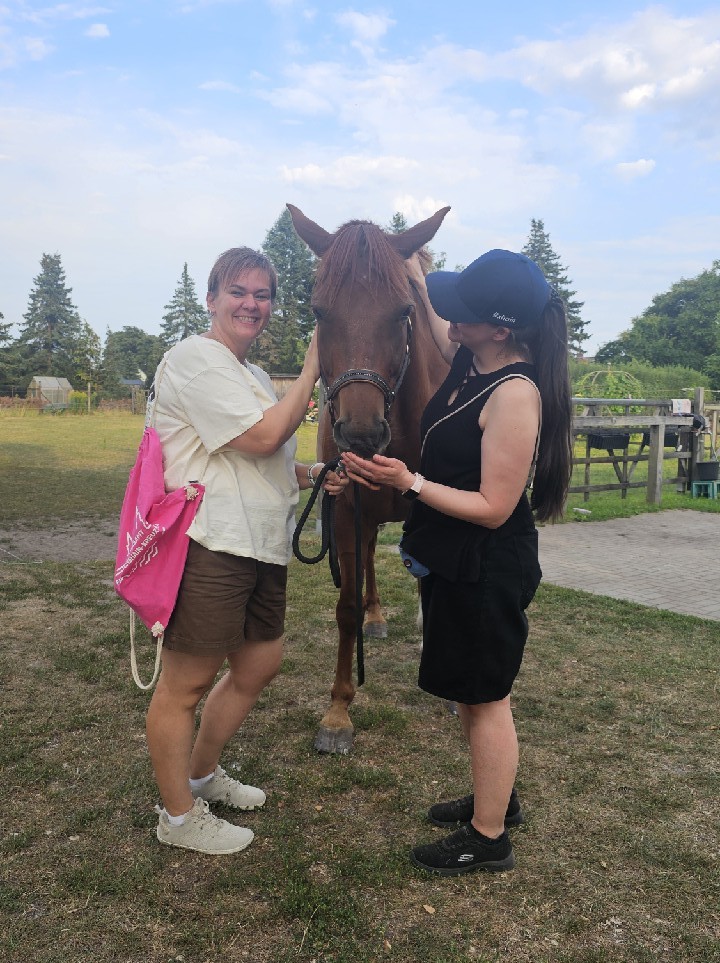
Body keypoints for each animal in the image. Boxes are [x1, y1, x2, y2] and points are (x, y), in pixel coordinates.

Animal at [287, 203, 451, 753]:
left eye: (403, 312)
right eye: (319, 312)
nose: (360, 433)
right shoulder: (343, 508)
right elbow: (347, 606)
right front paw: (338, 712)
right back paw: (378, 618)